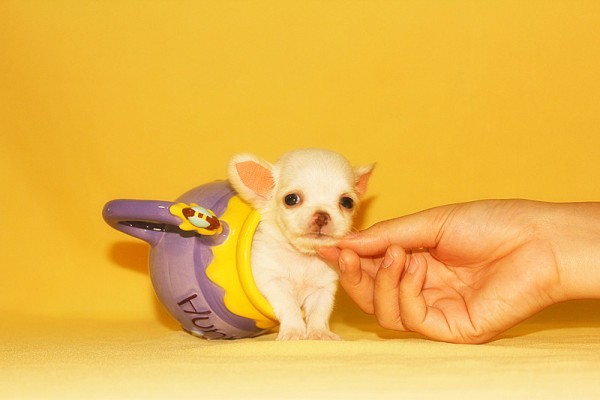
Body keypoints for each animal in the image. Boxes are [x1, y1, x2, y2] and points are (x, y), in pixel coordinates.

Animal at [228, 148, 373, 340]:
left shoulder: (323, 289)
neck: (302, 257)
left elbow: (319, 312)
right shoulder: (272, 280)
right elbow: (289, 305)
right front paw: (294, 332)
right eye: (291, 199)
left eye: (347, 202)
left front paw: (319, 333)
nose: (322, 215)